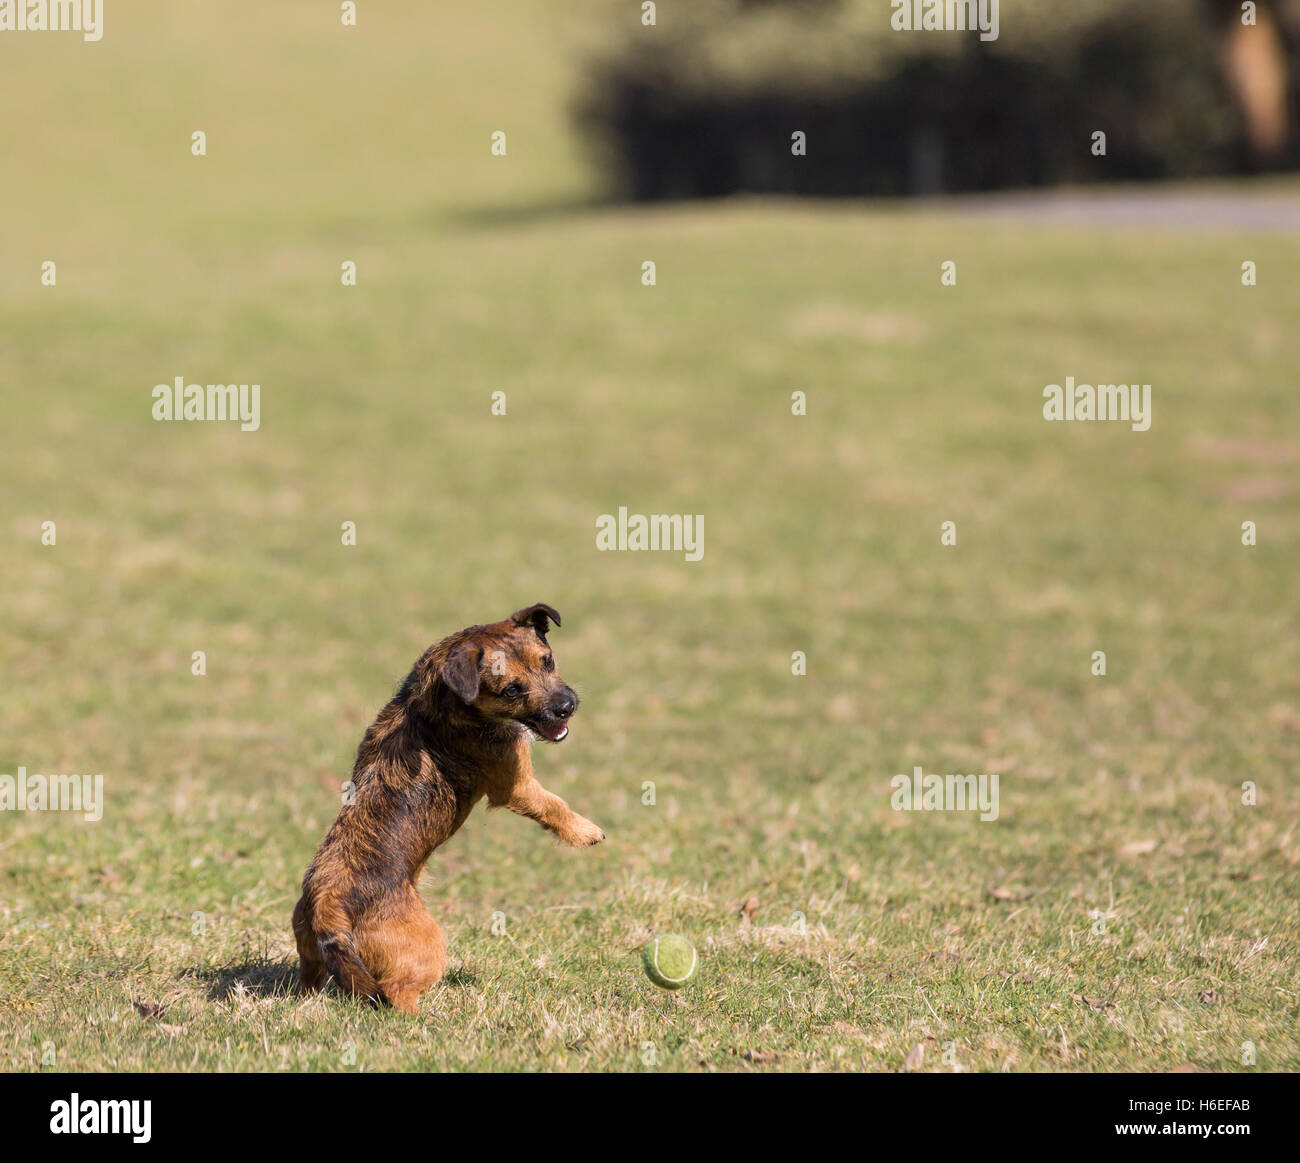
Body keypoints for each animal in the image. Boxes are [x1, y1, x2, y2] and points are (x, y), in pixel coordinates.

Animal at [289, 605, 603, 1013]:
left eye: (547, 661)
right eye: (511, 690)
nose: (566, 707)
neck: (444, 692)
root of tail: (328, 904)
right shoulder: (516, 785)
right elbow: (553, 805)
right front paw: (586, 831)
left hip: (308, 946)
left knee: (310, 976)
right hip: (427, 947)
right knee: (396, 993)